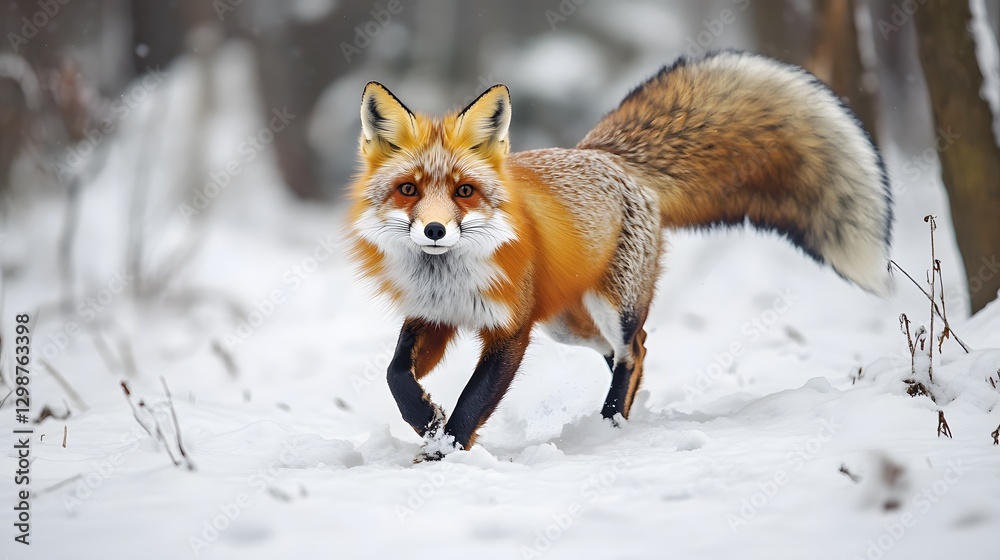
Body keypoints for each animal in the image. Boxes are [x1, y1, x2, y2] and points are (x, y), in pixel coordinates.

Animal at [348, 50, 892, 461]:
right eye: (408, 189)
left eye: (464, 191)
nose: (435, 230)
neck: (449, 278)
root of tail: (606, 155)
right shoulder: (432, 315)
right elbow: (396, 376)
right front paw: (427, 421)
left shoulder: (512, 329)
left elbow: (473, 401)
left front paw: (445, 452)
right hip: (567, 323)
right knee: (623, 353)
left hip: (611, 307)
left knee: (636, 349)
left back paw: (612, 423)